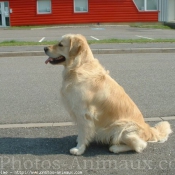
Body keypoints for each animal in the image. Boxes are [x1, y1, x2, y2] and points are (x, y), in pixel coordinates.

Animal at [43, 34, 172, 156]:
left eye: (60, 44)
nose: (44, 48)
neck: (78, 66)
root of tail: (149, 130)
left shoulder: (83, 113)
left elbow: (83, 133)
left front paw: (79, 149)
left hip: (122, 127)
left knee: (140, 145)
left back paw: (115, 148)